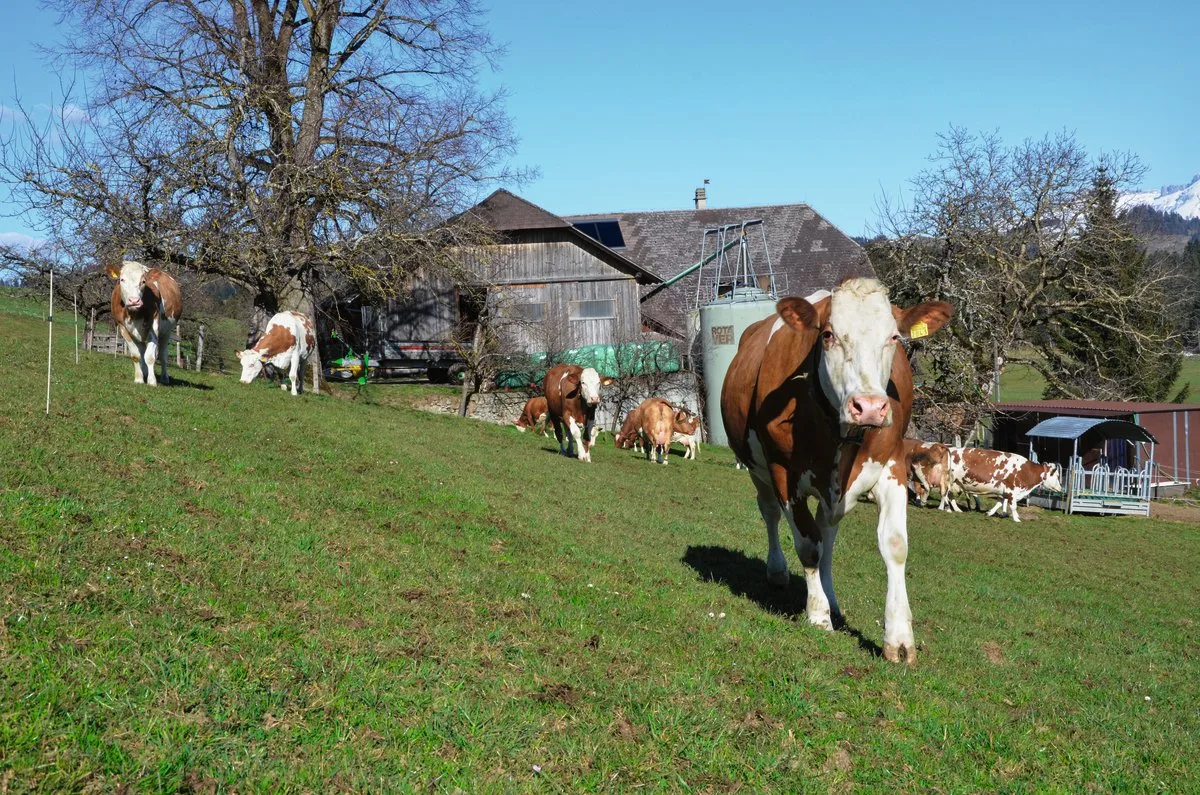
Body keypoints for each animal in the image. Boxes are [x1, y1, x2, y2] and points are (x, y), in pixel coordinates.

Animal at [722, 277, 952, 664]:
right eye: (828, 334)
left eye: (894, 337)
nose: (870, 407)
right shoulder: (783, 472)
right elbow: (808, 546)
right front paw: (817, 615)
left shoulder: (892, 466)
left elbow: (894, 545)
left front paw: (899, 638)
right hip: (758, 468)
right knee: (771, 513)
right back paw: (779, 572)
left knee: (827, 530)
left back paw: (831, 596)